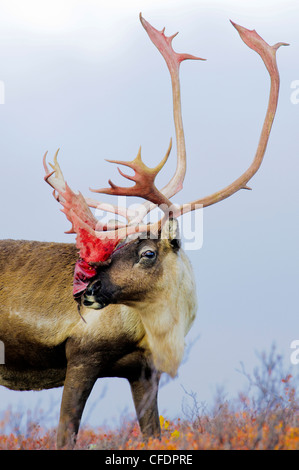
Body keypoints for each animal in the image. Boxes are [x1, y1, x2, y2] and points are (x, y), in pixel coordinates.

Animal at [0, 14, 288, 448]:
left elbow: (153, 432)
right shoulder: (81, 357)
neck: (158, 332)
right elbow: (65, 433)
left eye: (146, 252)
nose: (86, 290)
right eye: (117, 247)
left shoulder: (143, 372)